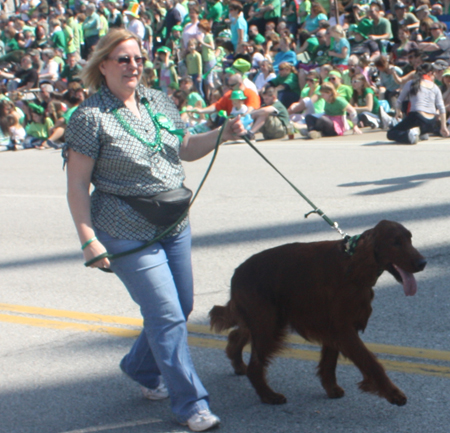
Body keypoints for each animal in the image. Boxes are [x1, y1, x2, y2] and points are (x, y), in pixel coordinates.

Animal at [209, 219, 428, 404]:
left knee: (237, 335)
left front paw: (331, 389)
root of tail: (236, 274)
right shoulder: (343, 328)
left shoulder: (334, 327)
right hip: (267, 324)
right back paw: (269, 396)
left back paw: (239, 365)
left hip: (265, 320)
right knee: (255, 367)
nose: (422, 263)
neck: (354, 265)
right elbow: (371, 363)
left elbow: (329, 362)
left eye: (410, 239)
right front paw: (394, 394)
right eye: (395, 242)